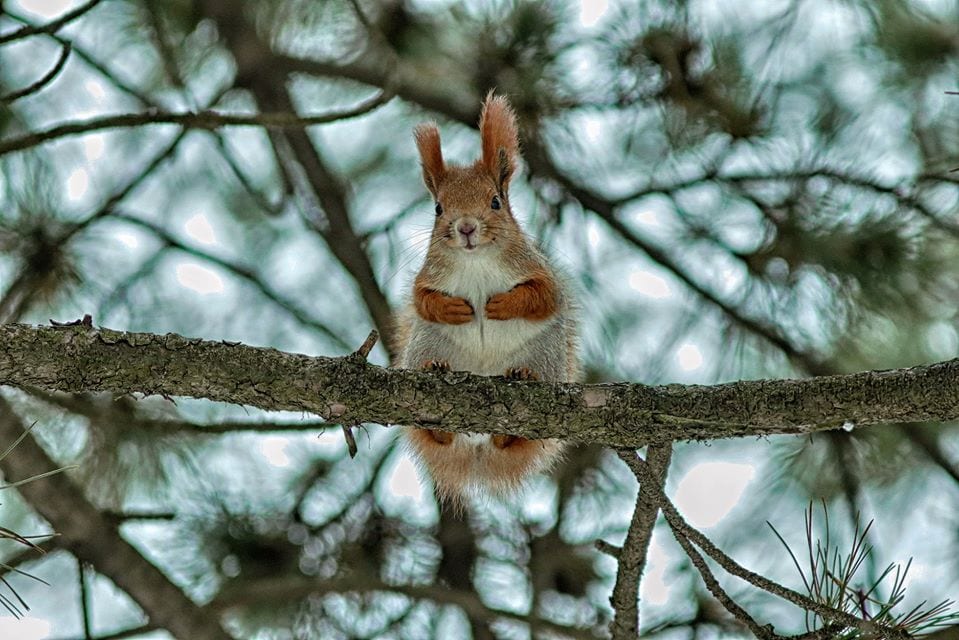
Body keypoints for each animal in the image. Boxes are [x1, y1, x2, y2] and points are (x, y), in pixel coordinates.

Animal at [396, 92, 576, 502]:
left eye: (495, 202)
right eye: (438, 208)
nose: (466, 227)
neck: (476, 261)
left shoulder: (538, 271)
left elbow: (544, 298)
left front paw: (502, 304)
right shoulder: (428, 276)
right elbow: (421, 300)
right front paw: (452, 308)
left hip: (545, 356)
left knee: (513, 437)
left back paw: (519, 386)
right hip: (425, 346)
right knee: (437, 432)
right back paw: (436, 380)